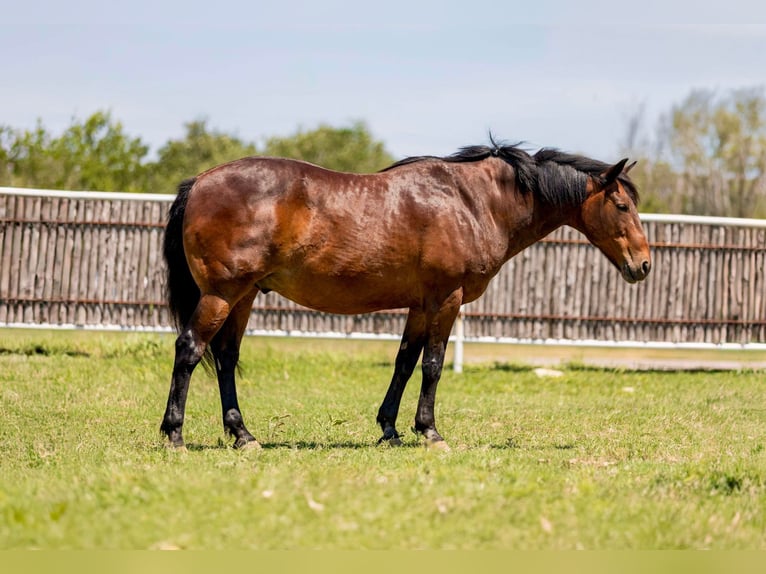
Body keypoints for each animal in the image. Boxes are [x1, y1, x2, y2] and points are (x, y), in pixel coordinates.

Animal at [160, 140, 651, 451]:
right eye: (622, 206)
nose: (643, 265)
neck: (472, 201)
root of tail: (200, 181)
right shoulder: (446, 299)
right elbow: (432, 365)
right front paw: (429, 432)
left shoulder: (421, 304)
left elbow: (404, 362)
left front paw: (390, 429)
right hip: (222, 295)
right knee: (190, 349)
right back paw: (175, 435)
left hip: (243, 296)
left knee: (225, 357)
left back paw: (243, 436)